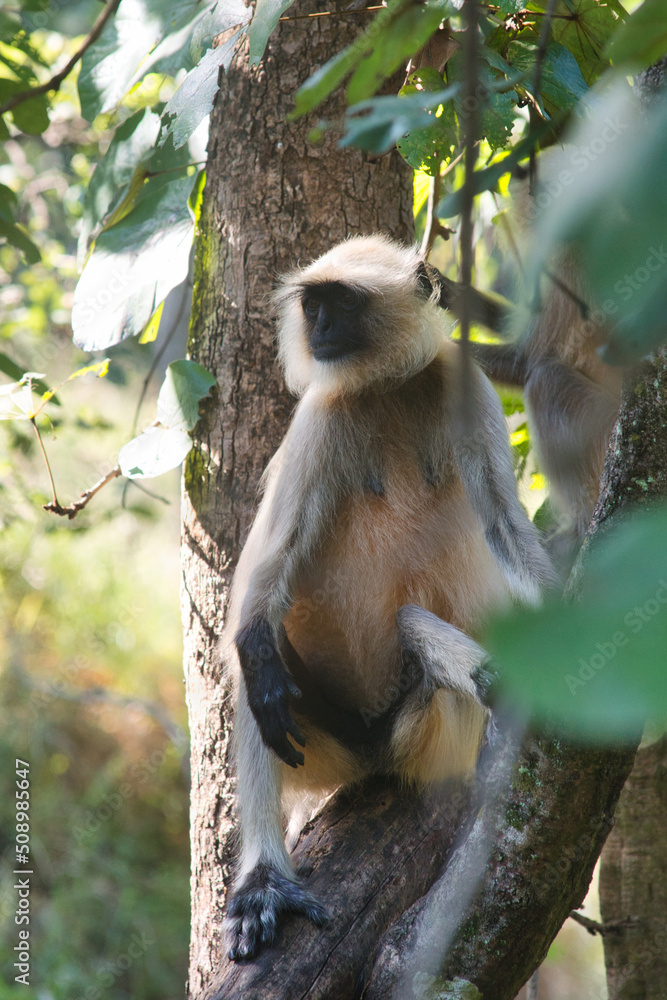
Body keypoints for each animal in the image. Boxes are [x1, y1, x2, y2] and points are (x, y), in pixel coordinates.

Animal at [221, 234, 555, 961]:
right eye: (312, 304)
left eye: (339, 304)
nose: (316, 328)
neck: (387, 384)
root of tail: (369, 749)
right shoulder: (319, 414)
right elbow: (261, 579)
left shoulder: (462, 383)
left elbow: (504, 526)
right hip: (322, 740)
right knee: (257, 665)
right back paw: (264, 882)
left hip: (422, 727)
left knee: (412, 626)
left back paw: (499, 687)